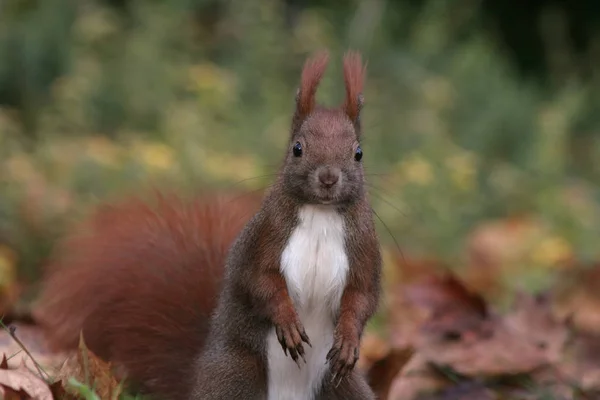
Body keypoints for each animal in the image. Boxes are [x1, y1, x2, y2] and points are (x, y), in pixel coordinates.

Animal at [32, 50, 382, 400]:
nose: (328, 177)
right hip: (234, 375)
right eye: (297, 148)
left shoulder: (363, 250)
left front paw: (348, 340)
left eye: (359, 153)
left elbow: (362, 297)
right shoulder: (264, 238)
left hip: (342, 388)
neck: (320, 214)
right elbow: (260, 281)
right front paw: (288, 321)